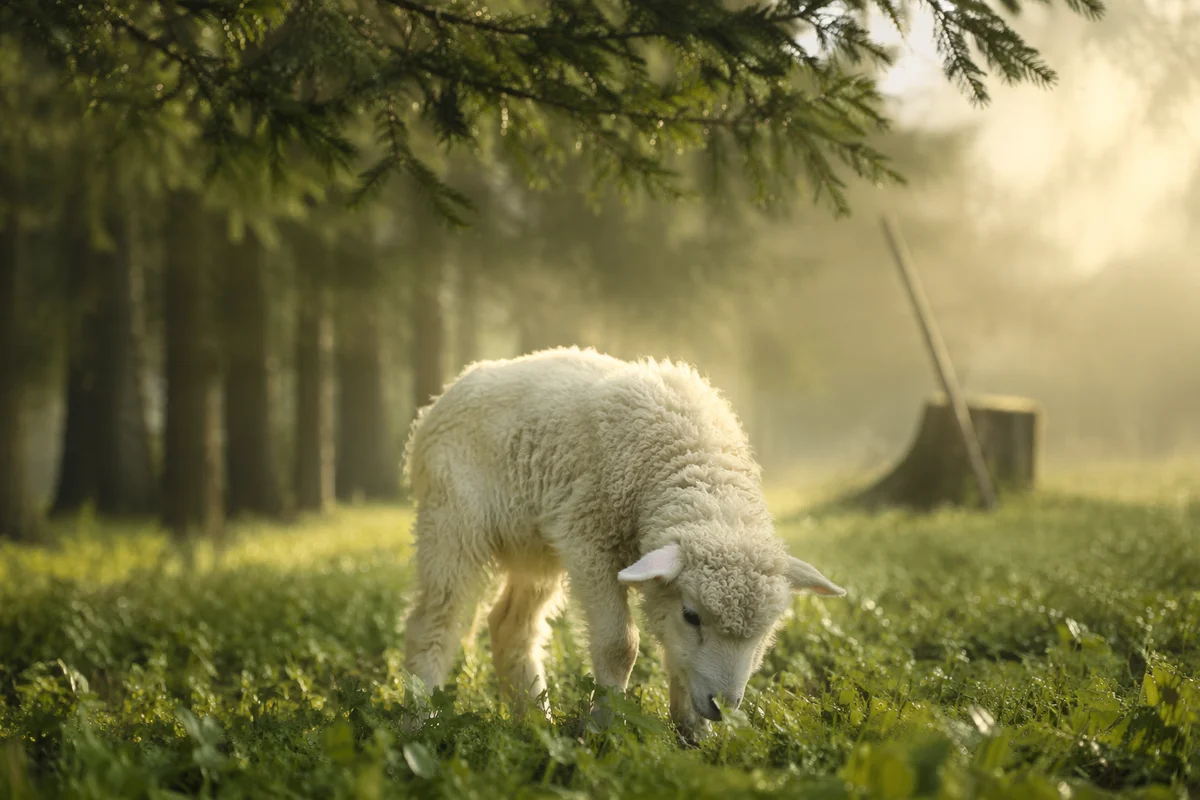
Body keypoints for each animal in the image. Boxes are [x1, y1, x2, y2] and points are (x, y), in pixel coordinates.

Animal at [400, 346, 846, 740]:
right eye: (692, 615)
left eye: (767, 629)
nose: (723, 706)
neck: (691, 461)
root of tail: (443, 396)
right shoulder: (589, 538)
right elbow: (620, 646)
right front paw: (603, 729)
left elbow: (676, 656)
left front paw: (692, 736)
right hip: (451, 520)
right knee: (432, 622)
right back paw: (421, 721)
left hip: (536, 547)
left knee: (511, 627)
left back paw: (535, 722)